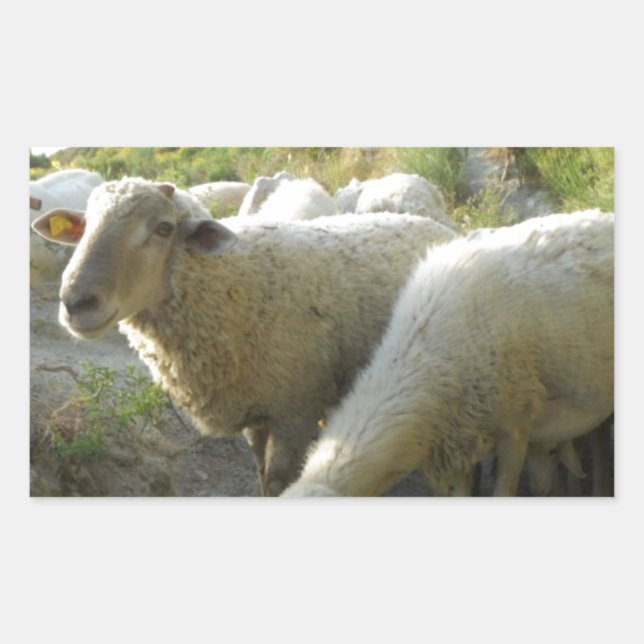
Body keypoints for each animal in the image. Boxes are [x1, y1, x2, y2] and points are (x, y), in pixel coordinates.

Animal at [31, 177, 458, 496]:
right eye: (84, 226)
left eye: (164, 228)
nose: (76, 302)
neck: (236, 287)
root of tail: (427, 222)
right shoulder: (256, 408)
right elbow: (259, 472)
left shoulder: (294, 411)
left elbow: (279, 478)